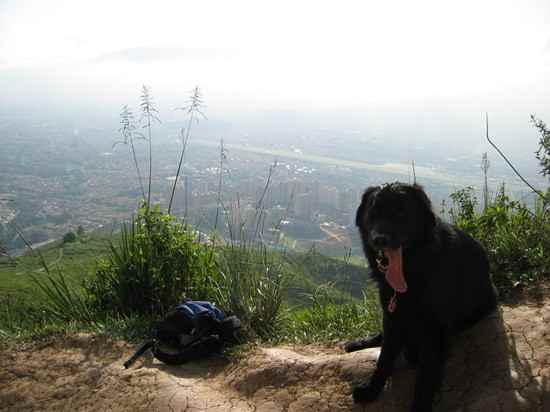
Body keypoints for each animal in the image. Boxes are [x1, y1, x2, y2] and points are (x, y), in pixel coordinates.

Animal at [352, 183, 498, 412]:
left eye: (401, 213)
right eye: (372, 214)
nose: (379, 240)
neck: (413, 269)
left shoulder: (434, 331)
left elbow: (425, 378)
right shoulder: (392, 317)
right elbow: (384, 358)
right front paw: (371, 391)